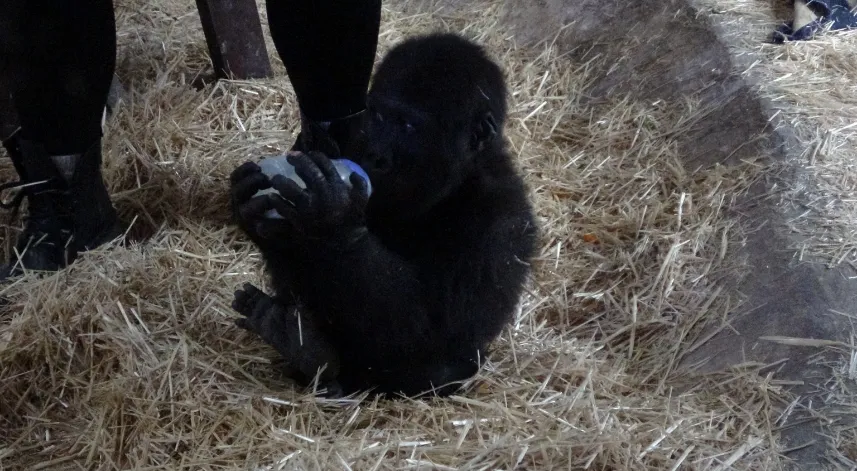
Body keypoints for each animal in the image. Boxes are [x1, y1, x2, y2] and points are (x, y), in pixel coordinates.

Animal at [227, 32, 536, 398]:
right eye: (377, 116)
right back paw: (302, 346)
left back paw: (314, 355)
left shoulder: (501, 221)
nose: (375, 154)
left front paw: (333, 221)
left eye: (408, 125)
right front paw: (255, 213)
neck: (458, 179)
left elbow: (432, 330)